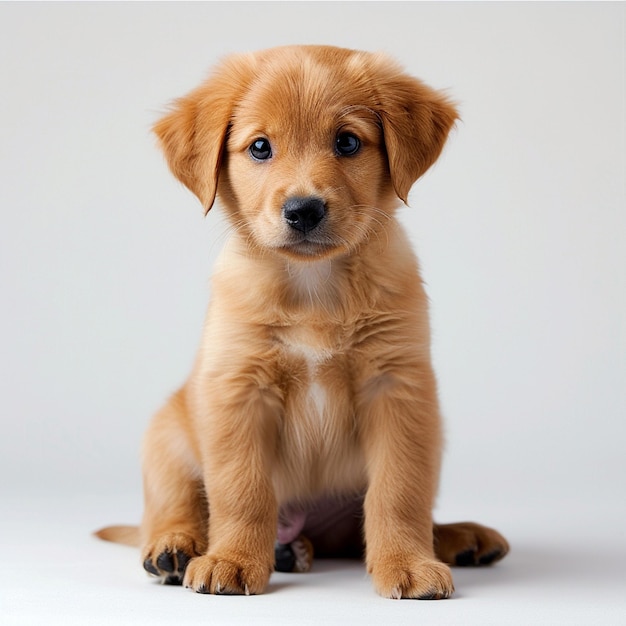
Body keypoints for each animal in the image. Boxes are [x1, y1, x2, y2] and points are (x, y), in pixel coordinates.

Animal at [97, 44, 508, 596]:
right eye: (260, 147)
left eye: (348, 142)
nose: (304, 210)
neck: (314, 287)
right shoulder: (238, 389)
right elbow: (243, 490)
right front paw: (231, 559)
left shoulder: (397, 389)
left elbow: (399, 492)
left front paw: (407, 563)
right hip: (165, 437)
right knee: (170, 507)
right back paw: (177, 550)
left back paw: (455, 537)